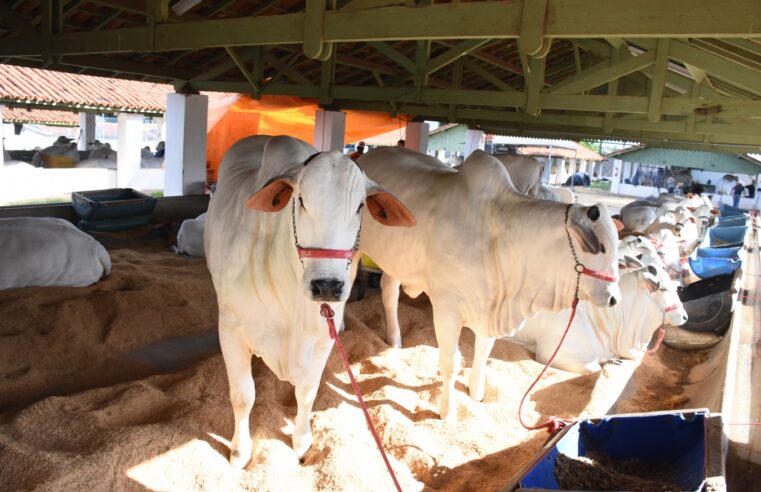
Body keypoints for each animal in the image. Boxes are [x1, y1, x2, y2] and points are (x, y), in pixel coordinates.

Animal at [203, 136, 416, 468]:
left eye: (360, 207)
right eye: (300, 200)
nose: (326, 285)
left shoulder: (322, 339)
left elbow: (307, 392)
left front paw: (302, 443)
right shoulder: (231, 329)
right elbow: (243, 396)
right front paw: (240, 452)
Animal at [356, 148, 616, 420]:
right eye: (602, 247)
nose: (613, 298)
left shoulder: (488, 311)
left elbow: (482, 353)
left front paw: (476, 393)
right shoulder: (447, 308)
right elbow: (451, 362)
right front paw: (448, 412)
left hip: (396, 259)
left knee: (389, 291)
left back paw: (395, 340)